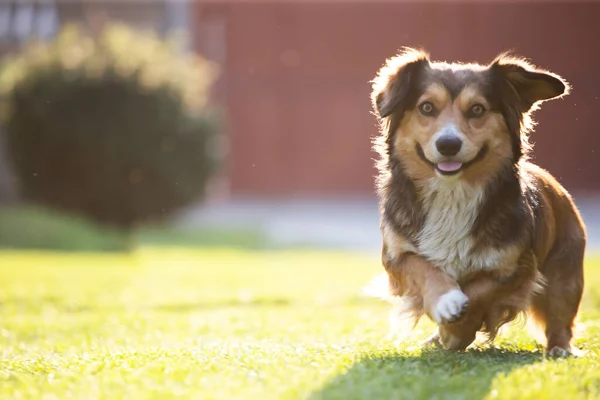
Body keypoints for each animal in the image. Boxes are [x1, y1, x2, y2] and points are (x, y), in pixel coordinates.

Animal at [368, 47, 588, 356]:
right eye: (426, 107)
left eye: (477, 109)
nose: (448, 145)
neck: (452, 193)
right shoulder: (396, 256)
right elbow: (423, 268)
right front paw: (446, 301)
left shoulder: (516, 268)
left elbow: (478, 292)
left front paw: (455, 331)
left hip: (565, 275)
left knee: (561, 319)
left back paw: (560, 349)